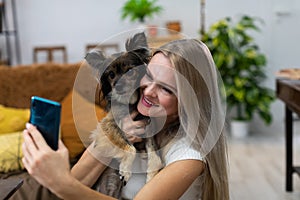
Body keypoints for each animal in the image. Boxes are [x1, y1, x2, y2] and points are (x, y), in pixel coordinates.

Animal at [85, 32, 163, 197]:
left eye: (130, 71)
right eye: (111, 75)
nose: (118, 85)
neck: (130, 102)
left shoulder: (147, 127)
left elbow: (154, 155)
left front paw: (151, 176)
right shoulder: (108, 126)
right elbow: (129, 147)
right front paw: (125, 171)